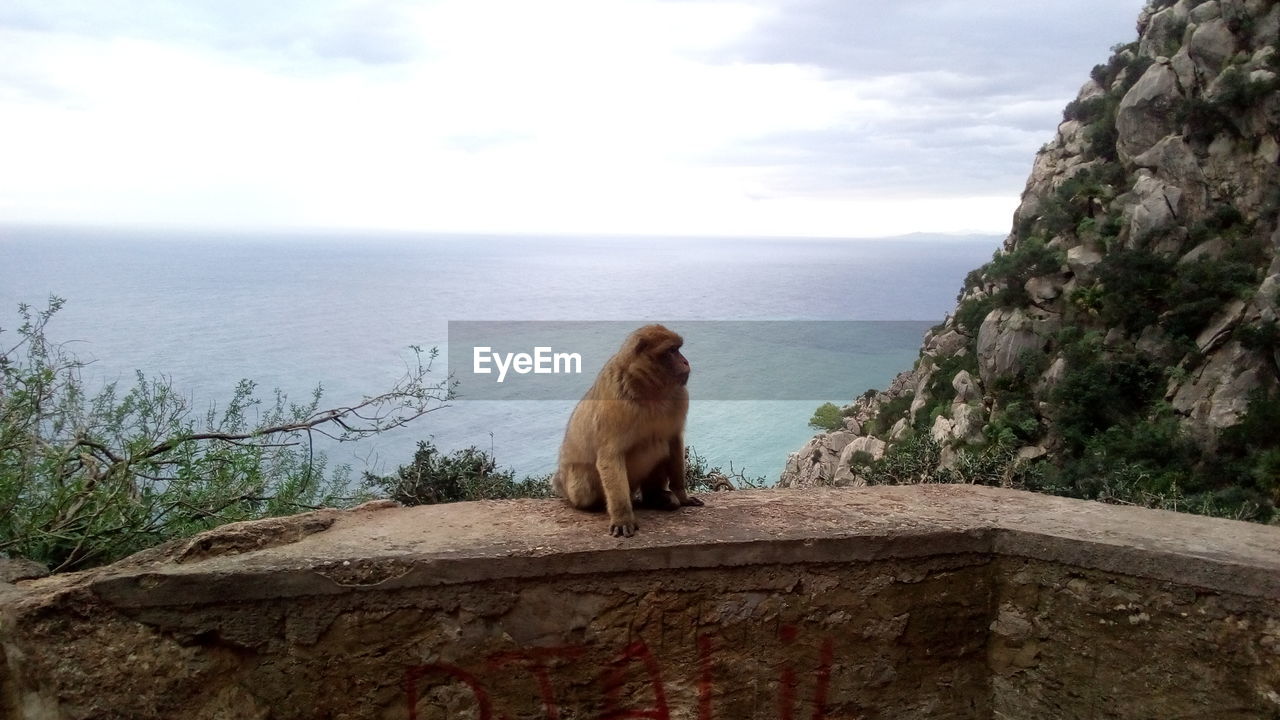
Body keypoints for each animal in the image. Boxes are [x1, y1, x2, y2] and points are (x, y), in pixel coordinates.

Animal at [552, 322, 706, 535]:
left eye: (678, 349)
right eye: (671, 351)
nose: (685, 362)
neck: (649, 390)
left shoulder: (680, 396)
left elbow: (674, 441)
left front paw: (682, 495)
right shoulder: (616, 404)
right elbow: (610, 456)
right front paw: (622, 517)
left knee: (659, 444)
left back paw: (655, 497)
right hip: (576, 488)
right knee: (586, 491)